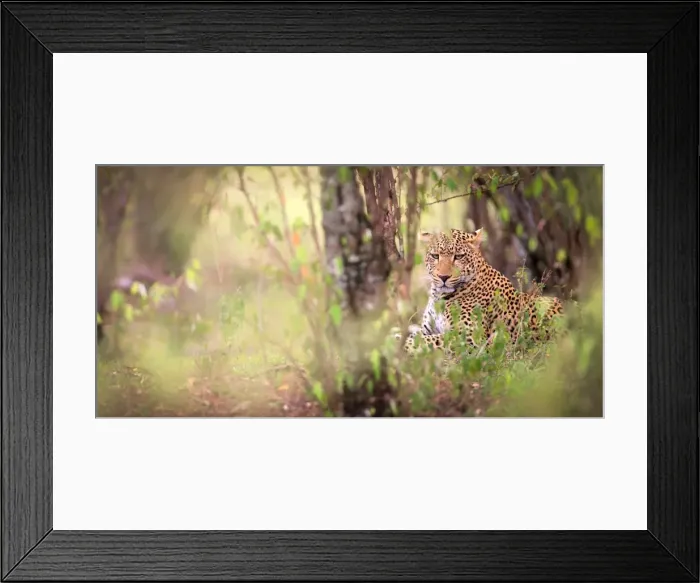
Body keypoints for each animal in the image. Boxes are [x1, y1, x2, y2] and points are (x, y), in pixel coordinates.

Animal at [401, 227, 564, 355]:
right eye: (435, 256)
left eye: (458, 256)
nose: (443, 277)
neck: (439, 297)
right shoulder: (427, 329)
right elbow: (417, 335)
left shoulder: (469, 337)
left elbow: (423, 341)